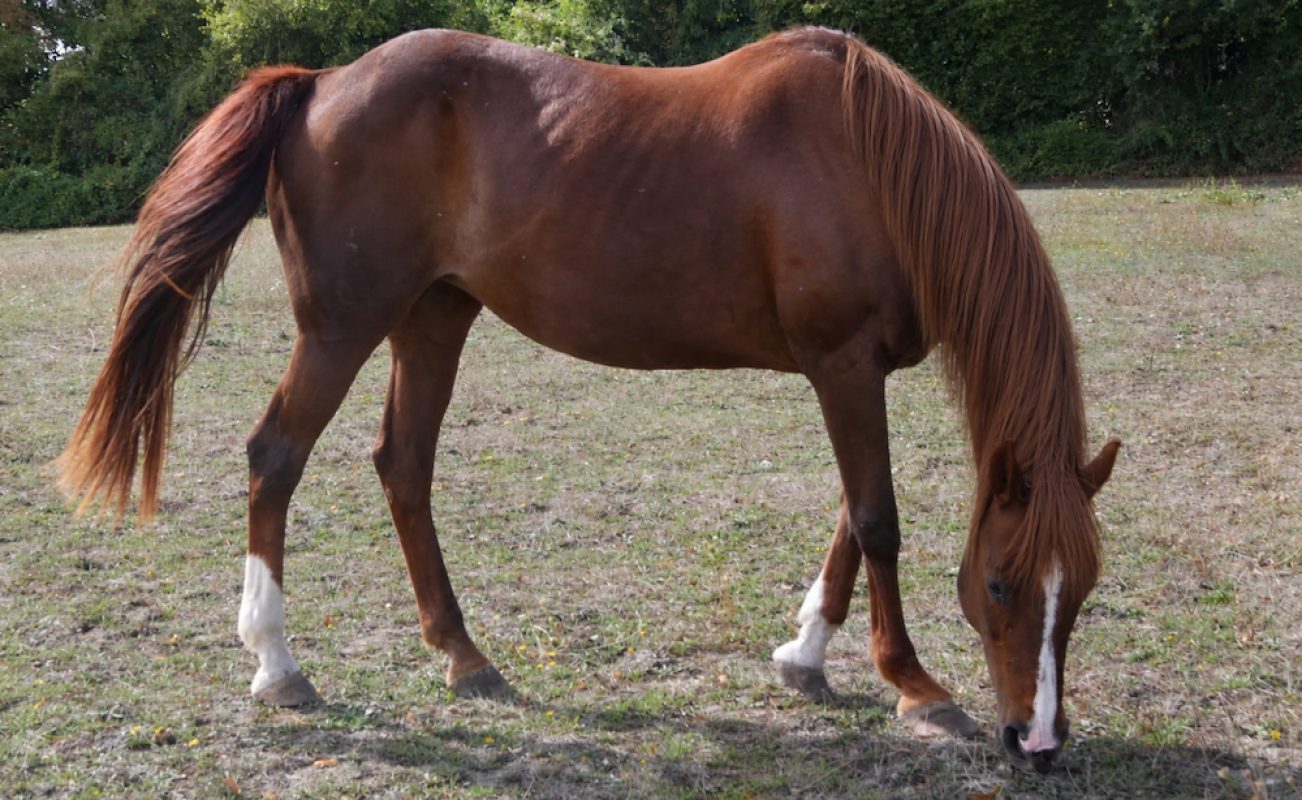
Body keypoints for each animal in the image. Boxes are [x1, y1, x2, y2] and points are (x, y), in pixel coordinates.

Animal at [57, 27, 1119, 771]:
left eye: (1083, 591)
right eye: (1000, 585)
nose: (1038, 742)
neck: (869, 165)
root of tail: (319, 84)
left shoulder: (850, 373)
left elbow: (850, 522)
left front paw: (804, 655)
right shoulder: (843, 363)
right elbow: (878, 521)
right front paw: (915, 686)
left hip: (432, 319)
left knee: (403, 466)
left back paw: (464, 655)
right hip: (342, 328)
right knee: (276, 457)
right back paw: (278, 665)